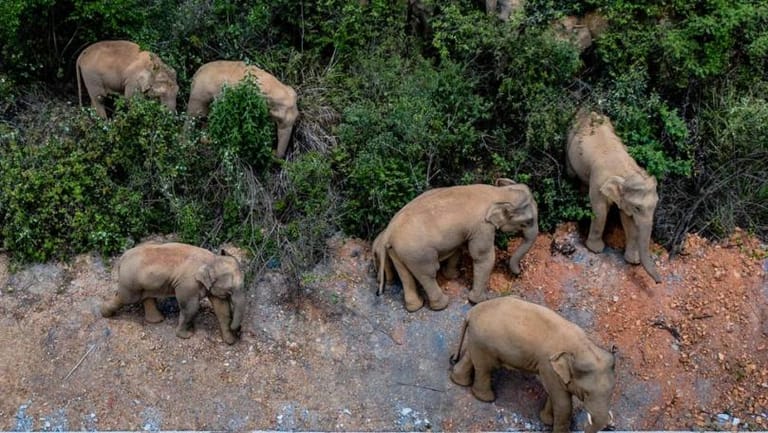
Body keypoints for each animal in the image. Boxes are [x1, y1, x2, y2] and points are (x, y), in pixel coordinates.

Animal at [100, 242, 246, 345]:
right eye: (230, 290)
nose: (239, 330)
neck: (212, 259)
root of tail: (122, 258)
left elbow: (222, 309)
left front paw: (230, 341)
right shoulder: (187, 284)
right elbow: (191, 308)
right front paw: (186, 336)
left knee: (147, 297)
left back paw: (157, 320)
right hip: (131, 281)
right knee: (126, 298)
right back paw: (105, 314)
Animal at [373, 178, 539, 311]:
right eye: (528, 222)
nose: (518, 273)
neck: (499, 193)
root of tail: (389, 232)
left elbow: (458, 248)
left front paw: (454, 276)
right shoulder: (482, 227)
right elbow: (483, 257)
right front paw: (480, 301)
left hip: (398, 251)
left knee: (405, 274)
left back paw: (414, 307)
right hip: (417, 253)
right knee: (428, 273)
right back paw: (442, 305)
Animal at [450, 296, 616, 433]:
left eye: (611, 393)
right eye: (586, 393)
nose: (611, 426)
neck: (583, 347)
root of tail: (471, 312)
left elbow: (553, 394)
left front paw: (547, 421)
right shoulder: (548, 366)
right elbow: (563, 404)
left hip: (478, 340)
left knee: (471, 357)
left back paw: (459, 381)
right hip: (485, 342)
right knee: (485, 368)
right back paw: (487, 399)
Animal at [566, 111, 662, 283]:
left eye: (655, 205)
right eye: (638, 208)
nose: (659, 282)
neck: (626, 172)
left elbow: (628, 220)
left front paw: (633, 261)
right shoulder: (598, 181)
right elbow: (600, 211)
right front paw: (595, 250)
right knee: (571, 173)